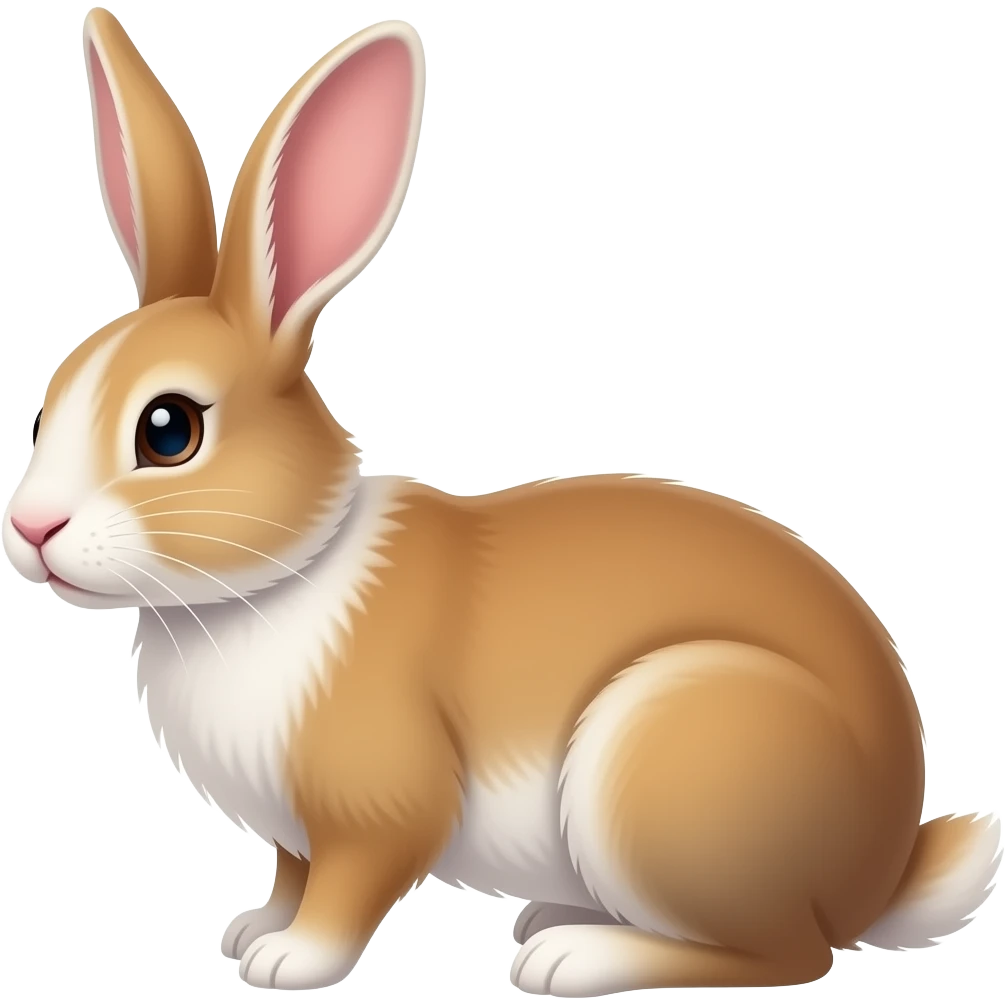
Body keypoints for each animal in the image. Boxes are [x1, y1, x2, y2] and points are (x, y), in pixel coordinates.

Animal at [0, 8, 999, 996]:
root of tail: (882, 865)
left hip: (666, 758)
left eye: (168, 430)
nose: (30, 527)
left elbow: (350, 886)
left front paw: (291, 961)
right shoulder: (295, 833)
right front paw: (251, 929)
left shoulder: (377, 807)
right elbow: (291, 874)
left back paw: (572, 957)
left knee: (787, 953)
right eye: (51, 395)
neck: (278, 576)